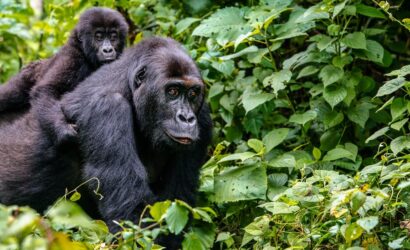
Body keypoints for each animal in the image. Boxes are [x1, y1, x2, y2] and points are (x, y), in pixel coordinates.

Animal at [0, 6, 128, 143]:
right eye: (98, 37)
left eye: (113, 37)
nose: (108, 50)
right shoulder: (71, 57)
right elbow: (46, 89)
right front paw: (62, 128)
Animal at [0, 38, 211, 237]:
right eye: (173, 91)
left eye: (193, 94)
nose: (186, 118)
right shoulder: (107, 107)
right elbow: (131, 214)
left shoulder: (202, 117)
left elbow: (178, 203)